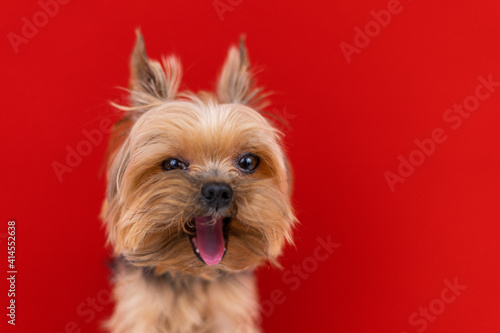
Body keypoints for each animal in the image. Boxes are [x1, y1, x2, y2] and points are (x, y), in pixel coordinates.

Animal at [102, 29, 296, 330]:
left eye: (248, 162)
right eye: (172, 164)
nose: (217, 190)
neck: (192, 274)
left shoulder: (228, 315)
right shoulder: (139, 313)